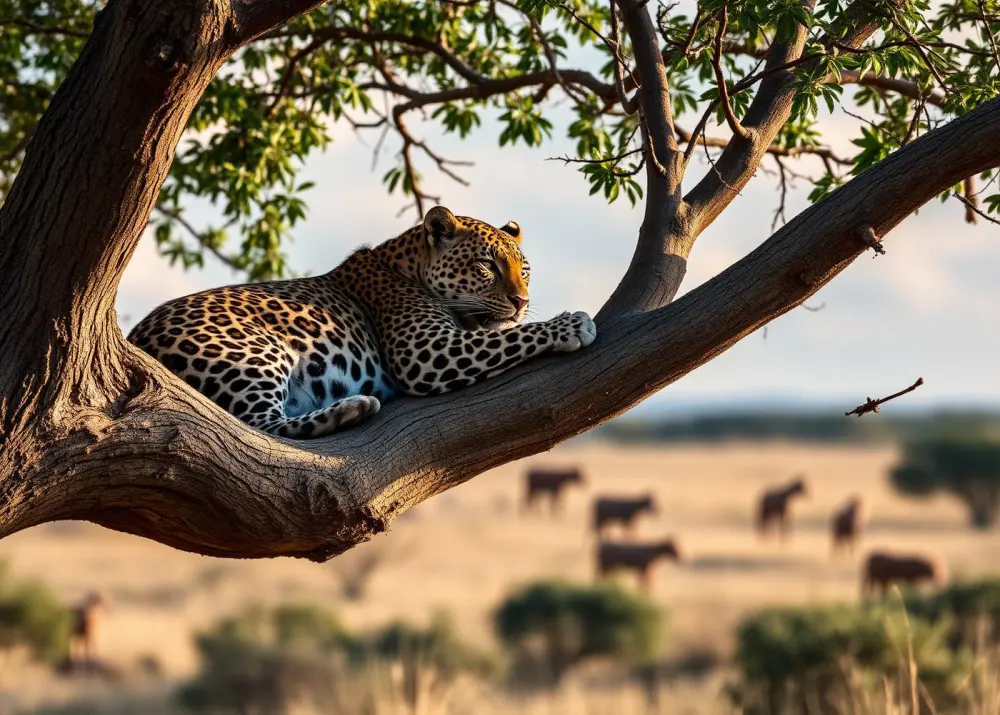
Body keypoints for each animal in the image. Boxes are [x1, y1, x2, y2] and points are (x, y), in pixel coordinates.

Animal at [127, 206, 597, 439]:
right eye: (486, 266)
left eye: (524, 270)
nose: (522, 301)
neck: (408, 267)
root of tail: (136, 335)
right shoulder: (427, 352)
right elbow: (512, 337)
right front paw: (572, 323)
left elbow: (504, 333)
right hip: (253, 351)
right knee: (259, 425)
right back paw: (351, 408)